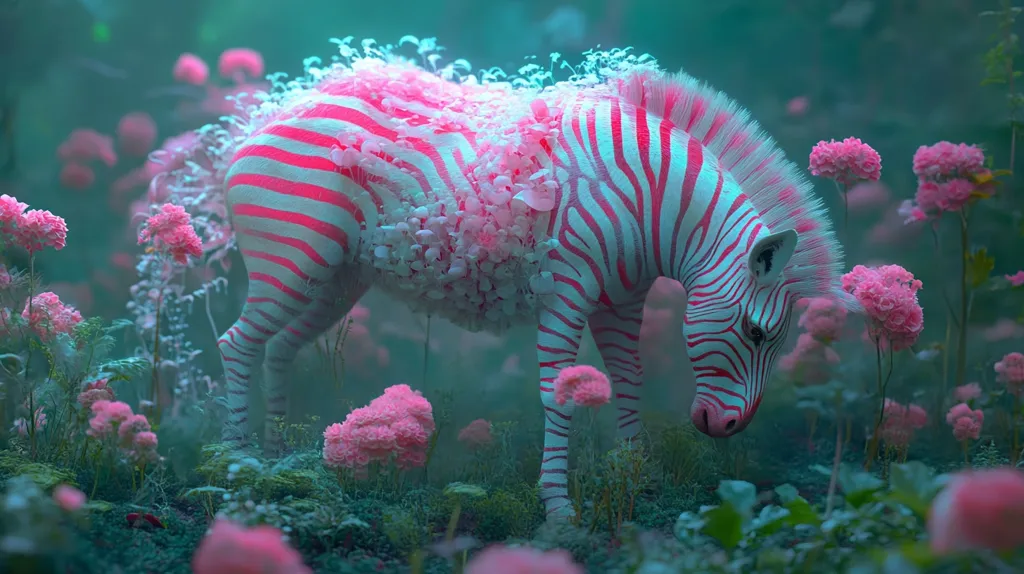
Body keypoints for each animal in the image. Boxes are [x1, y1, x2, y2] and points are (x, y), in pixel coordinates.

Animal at [184, 38, 849, 519]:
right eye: (757, 334)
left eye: (776, 342)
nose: (729, 429)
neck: (651, 204)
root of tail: (264, 119)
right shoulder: (568, 292)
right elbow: (560, 395)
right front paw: (557, 509)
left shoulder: (621, 300)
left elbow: (629, 383)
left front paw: (638, 480)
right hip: (293, 263)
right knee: (236, 343)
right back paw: (237, 468)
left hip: (334, 280)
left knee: (280, 348)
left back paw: (281, 464)